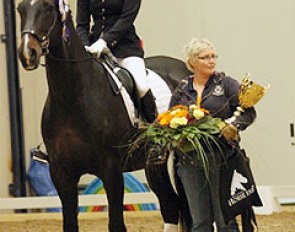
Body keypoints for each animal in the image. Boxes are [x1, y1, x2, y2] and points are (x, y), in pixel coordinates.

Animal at [17, 0, 191, 232]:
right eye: (20, 9)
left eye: (48, 8)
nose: (27, 54)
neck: (73, 97)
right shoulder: (61, 173)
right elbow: (70, 224)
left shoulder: (112, 171)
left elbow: (116, 224)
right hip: (154, 164)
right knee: (170, 205)